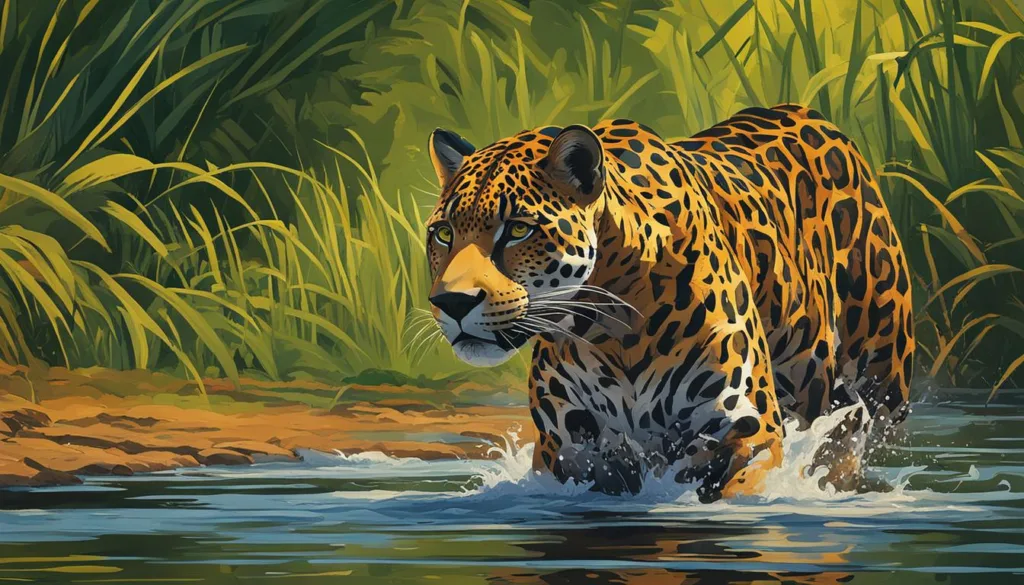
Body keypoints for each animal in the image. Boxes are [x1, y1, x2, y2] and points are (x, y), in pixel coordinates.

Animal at [423, 104, 914, 501]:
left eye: (518, 230)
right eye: (443, 233)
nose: (452, 301)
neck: (612, 325)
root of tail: (810, 116)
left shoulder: (748, 429)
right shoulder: (568, 447)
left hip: (878, 378)